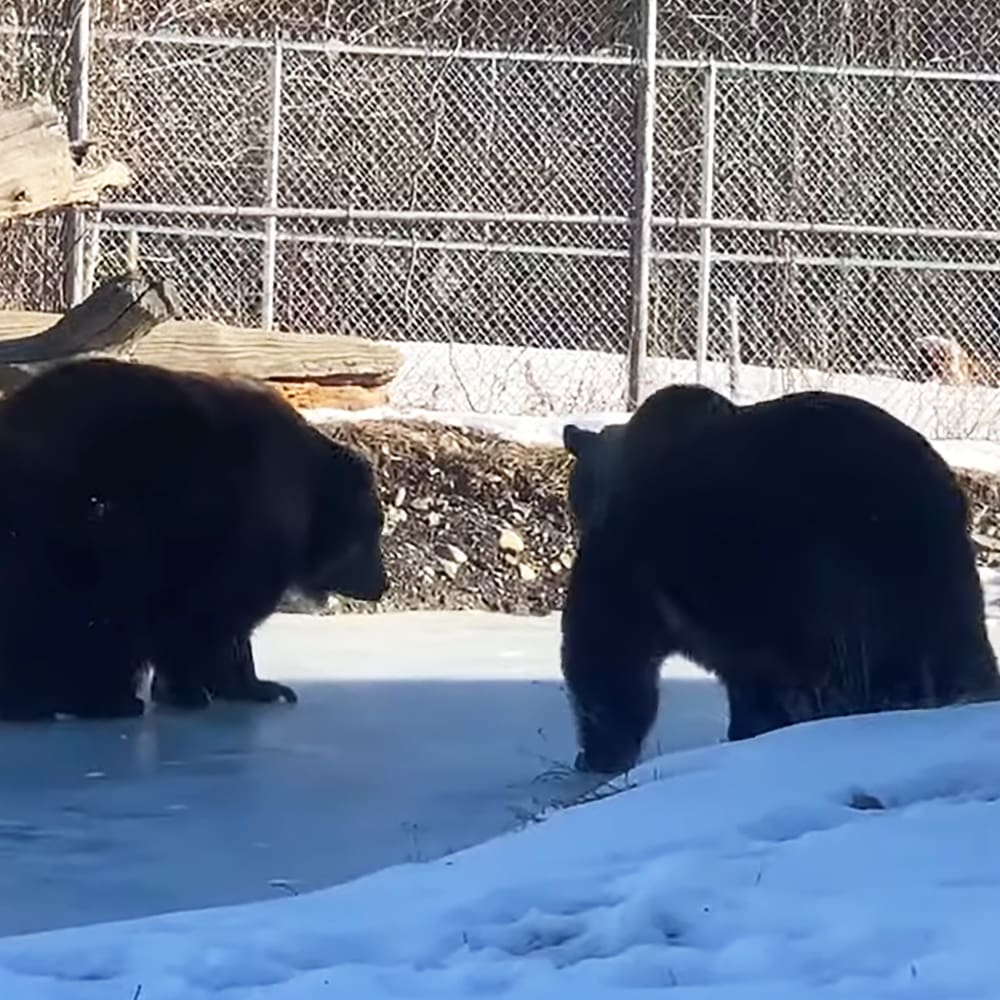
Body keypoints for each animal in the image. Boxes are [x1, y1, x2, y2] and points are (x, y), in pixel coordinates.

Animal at [0, 357, 387, 721]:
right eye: (371, 533)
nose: (380, 585)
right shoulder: (240, 529)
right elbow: (216, 619)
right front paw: (231, 686)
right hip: (84, 522)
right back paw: (88, 700)